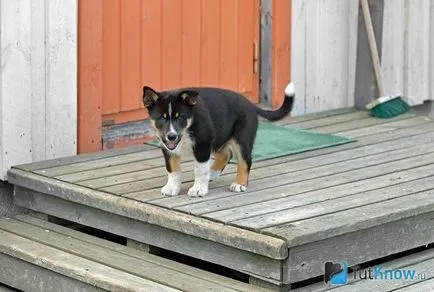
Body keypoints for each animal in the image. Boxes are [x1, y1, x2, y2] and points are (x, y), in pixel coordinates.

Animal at [142, 83, 294, 197]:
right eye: (162, 118)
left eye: (180, 117)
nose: (171, 136)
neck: (187, 129)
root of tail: (251, 104)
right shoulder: (168, 148)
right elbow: (172, 169)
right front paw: (171, 188)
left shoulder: (203, 144)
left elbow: (200, 169)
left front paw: (198, 189)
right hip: (219, 136)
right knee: (226, 154)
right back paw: (212, 173)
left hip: (241, 137)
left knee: (245, 160)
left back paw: (239, 184)